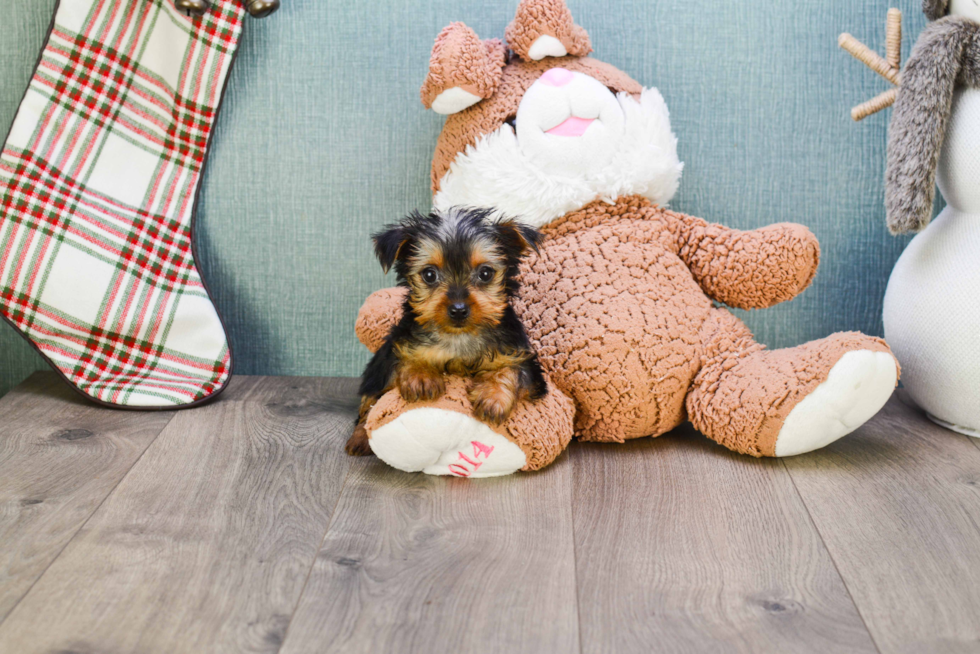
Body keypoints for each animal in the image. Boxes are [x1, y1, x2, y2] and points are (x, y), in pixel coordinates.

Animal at [344, 209, 548, 456]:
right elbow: (404, 361)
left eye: (485, 273)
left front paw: (493, 397)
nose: (458, 309)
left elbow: (512, 370)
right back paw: (359, 439)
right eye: (429, 274)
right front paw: (421, 376)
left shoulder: (521, 358)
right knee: (368, 404)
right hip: (376, 371)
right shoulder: (397, 348)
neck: (458, 337)